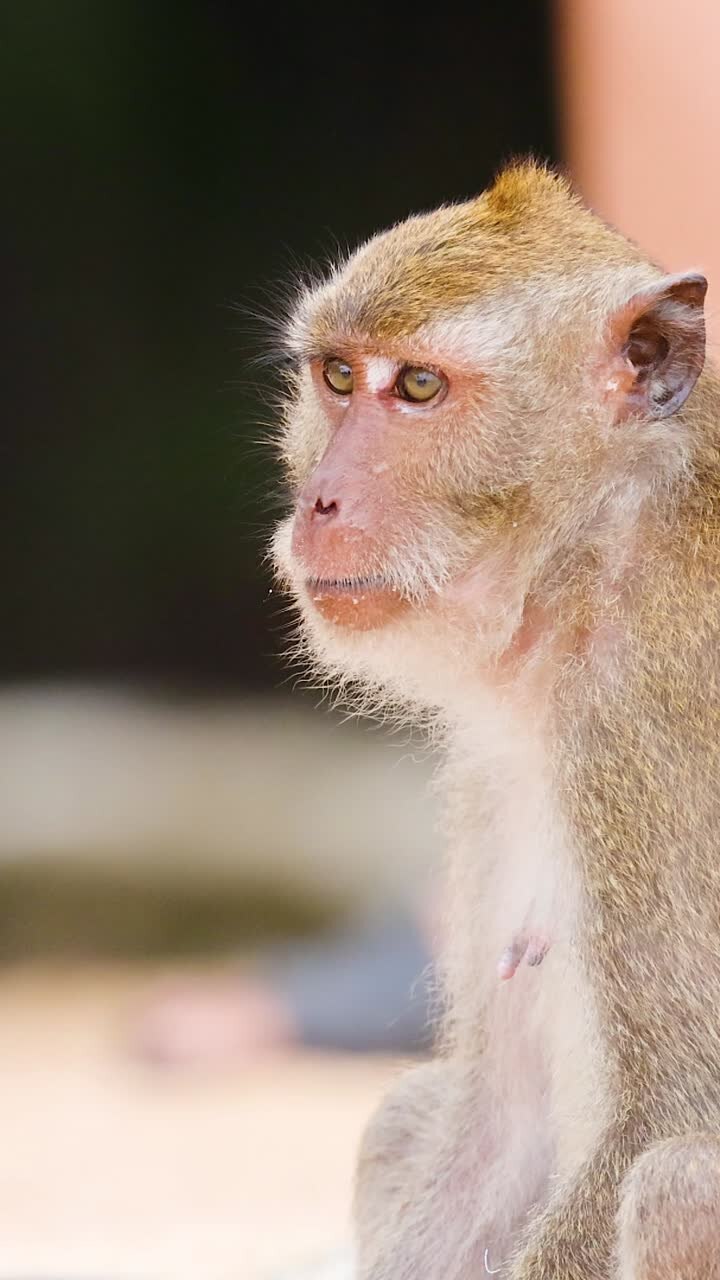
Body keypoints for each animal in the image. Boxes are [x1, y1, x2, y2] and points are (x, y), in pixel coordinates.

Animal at [271, 160, 720, 1278]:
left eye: (419, 388)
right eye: (337, 375)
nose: (319, 502)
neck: (587, 559)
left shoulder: (642, 725)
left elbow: (668, 1115)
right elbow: (494, 1130)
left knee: (680, 1181)